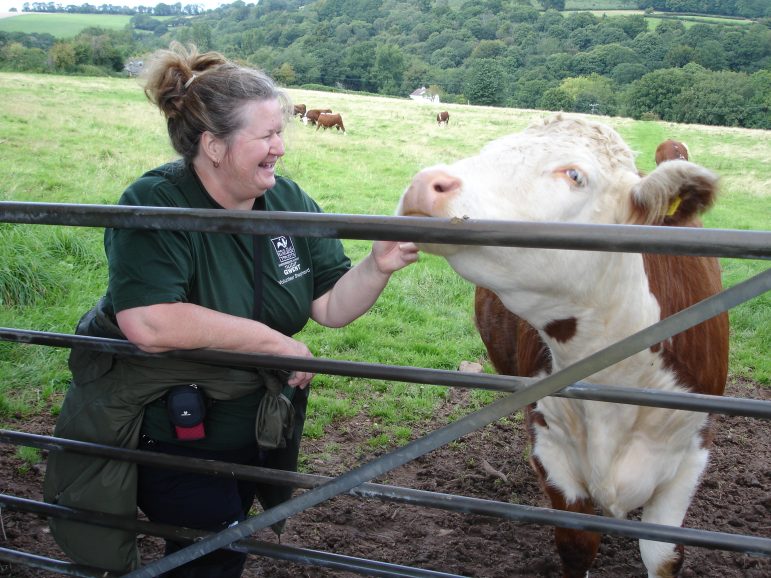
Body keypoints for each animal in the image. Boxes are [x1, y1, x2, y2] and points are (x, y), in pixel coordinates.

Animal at [398, 113, 728, 576]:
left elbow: (663, 555)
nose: (425, 182)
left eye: (574, 174)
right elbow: (576, 545)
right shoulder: (550, 445)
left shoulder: (691, 455)